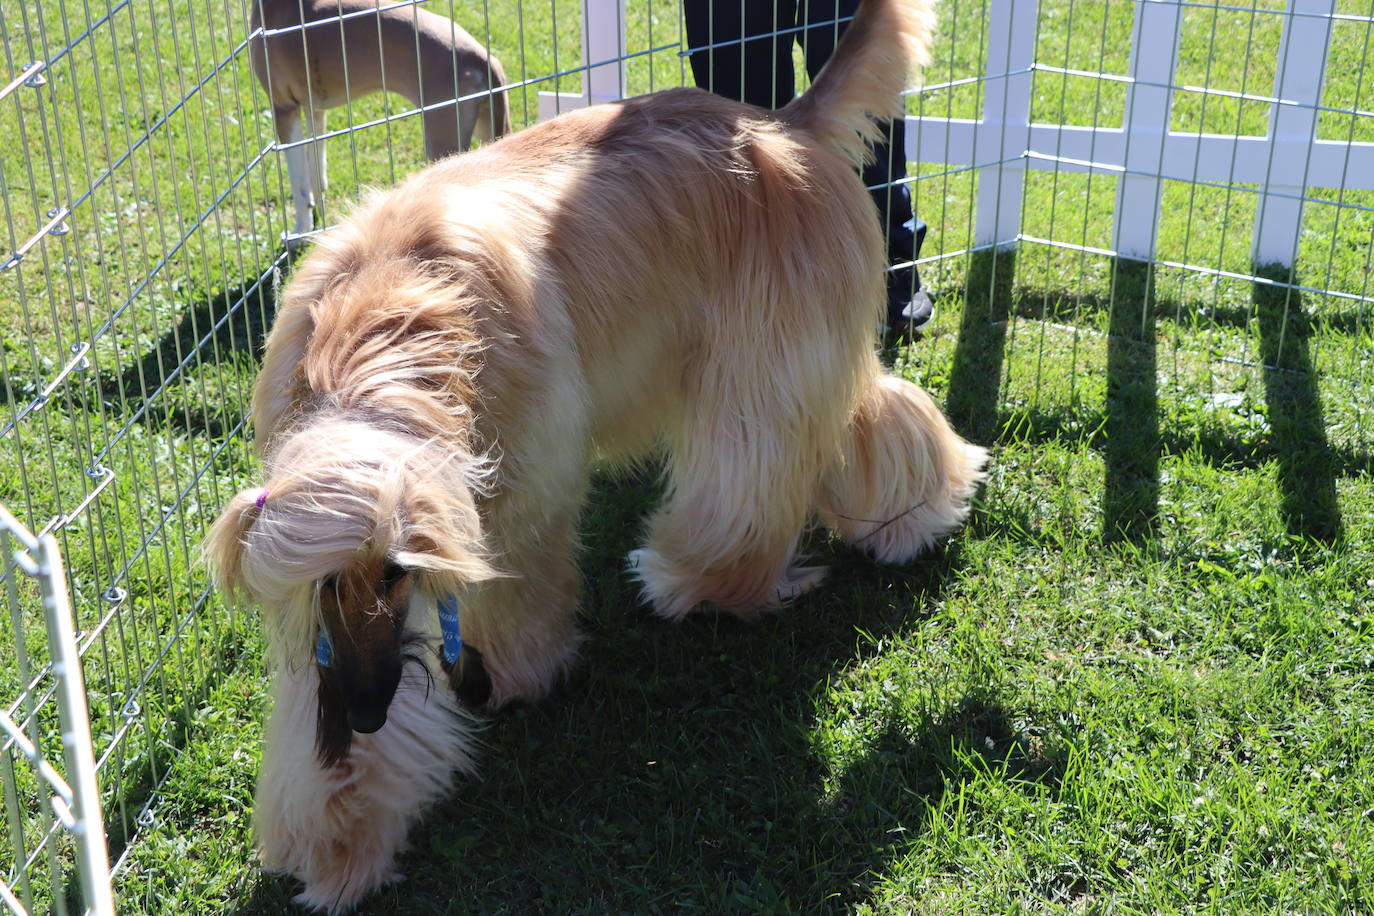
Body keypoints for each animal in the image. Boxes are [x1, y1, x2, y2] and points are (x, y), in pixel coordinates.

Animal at [247, 0, 511, 236]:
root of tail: (482, 58)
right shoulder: (315, 110)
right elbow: (317, 174)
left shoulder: (284, 109)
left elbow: (300, 185)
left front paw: (300, 232)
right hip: (486, 130)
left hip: (444, 138)